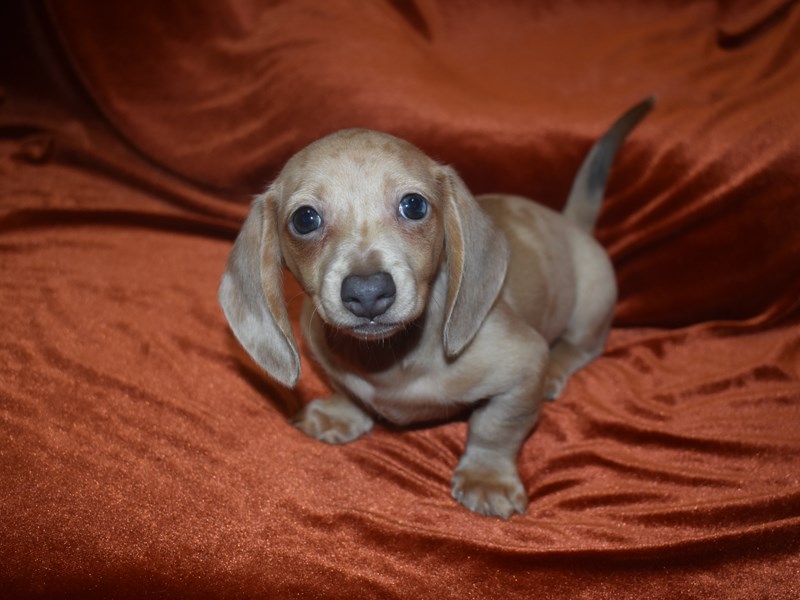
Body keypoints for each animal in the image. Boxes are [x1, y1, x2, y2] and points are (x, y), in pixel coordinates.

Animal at [220, 98, 656, 520]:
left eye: (413, 205)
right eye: (305, 219)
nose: (368, 292)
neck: (392, 360)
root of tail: (570, 223)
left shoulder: (524, 363)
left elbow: (496, 427)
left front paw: (487, 477)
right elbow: (345, 388)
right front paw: (343, 413)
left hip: (592, 302)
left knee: (581, 347)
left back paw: (557, 368)